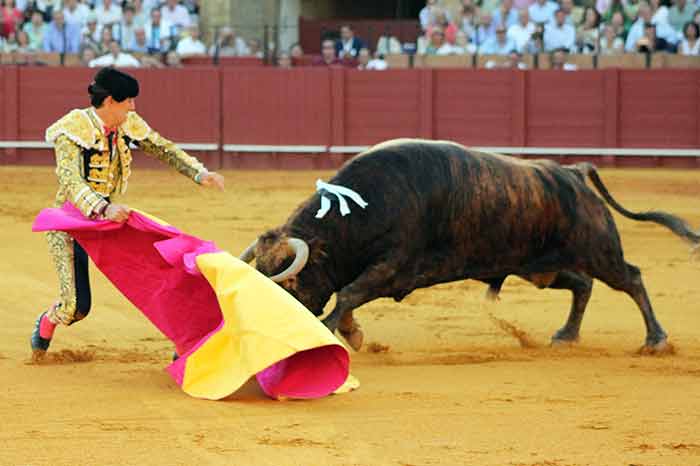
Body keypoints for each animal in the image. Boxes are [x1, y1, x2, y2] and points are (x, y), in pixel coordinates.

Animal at [239, 140, 696, 352]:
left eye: (289, 285)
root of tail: (572, 172)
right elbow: (349, 294)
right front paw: (353, 334)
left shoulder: (394, 266)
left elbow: (349, 293)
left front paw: (335, 332)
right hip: (540, 267)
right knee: (582, 284)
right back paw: (566, 335)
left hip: (599, 249)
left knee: (630, 278)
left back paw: (656, 340)